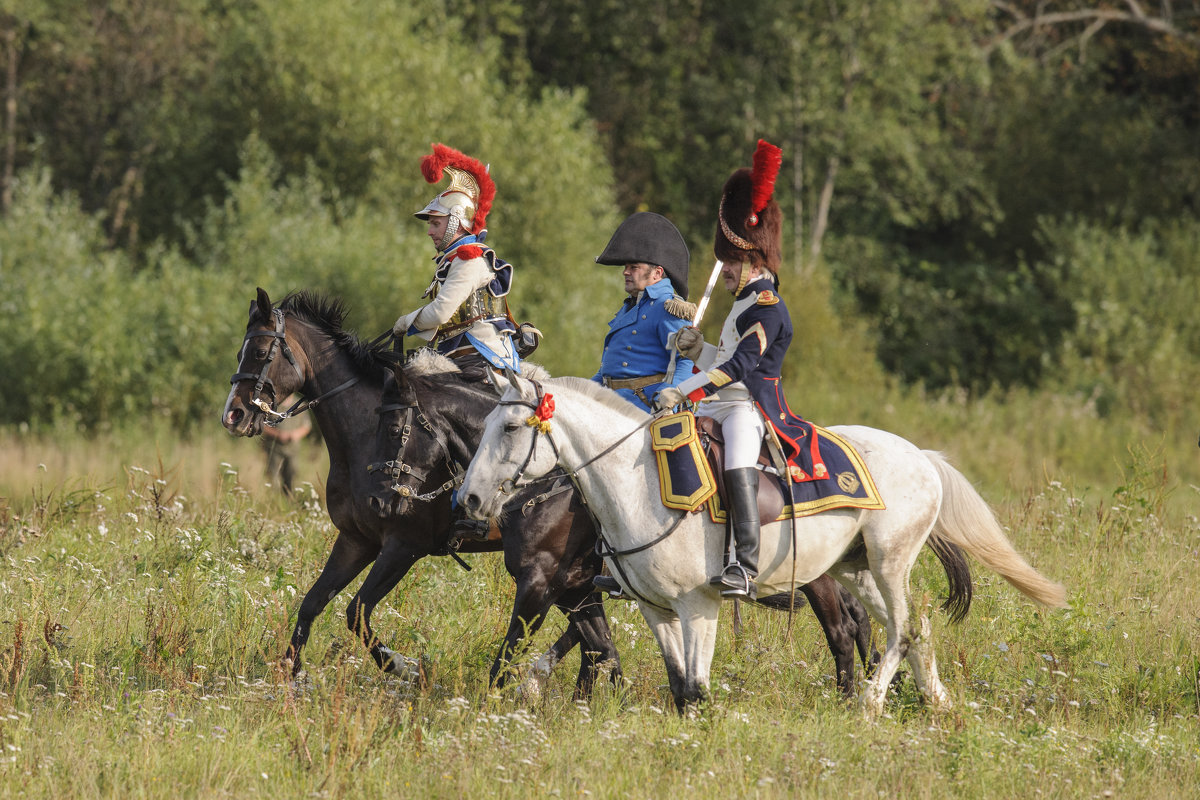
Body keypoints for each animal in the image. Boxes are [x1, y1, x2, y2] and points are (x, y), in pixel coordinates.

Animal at [220, 291, 619, 695]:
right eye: (239, 352)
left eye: (260, 352)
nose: (233, 416)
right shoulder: (356, 540)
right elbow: (312, 603)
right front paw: (290, 676)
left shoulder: (404, 546)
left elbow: (356, 611)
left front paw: (407, 669)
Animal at [369, 352, 888, 695]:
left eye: (397, 429)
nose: (468, 500)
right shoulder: (580, 589)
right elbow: (601, 653)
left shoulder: (541, 584)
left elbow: (512, 659)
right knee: (857, 619)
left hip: (813, 574)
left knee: (843, 628)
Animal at [453, 374, 1065, 714]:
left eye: (511, 428)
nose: (469, 500)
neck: (636, 485)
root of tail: (923, 457)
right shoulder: (655, 609)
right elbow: (677, 688)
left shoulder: (696, 606)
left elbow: (697, 690)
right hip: (855, 569)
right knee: (912, 628)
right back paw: (935, 702)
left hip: (889, 563)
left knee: (901, 629)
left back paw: (870, 703)